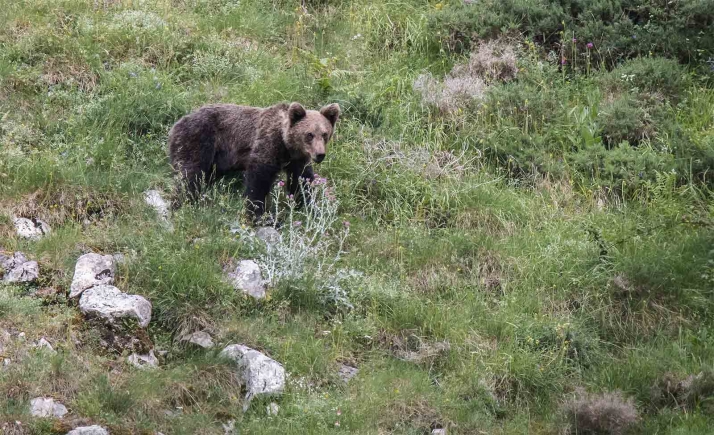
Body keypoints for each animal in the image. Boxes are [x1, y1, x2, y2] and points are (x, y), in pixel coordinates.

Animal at [167, 101, 340, 223]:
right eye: (309, 134)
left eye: (325, 134)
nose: (320, 155)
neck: (287, 145)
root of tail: (176, 124)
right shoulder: (267, 146)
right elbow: (258, 180)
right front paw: (261, 215)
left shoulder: (297, 160)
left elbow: (302, 181)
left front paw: (310, 206)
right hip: (199, 140)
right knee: (191, 173)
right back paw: (182, 202)